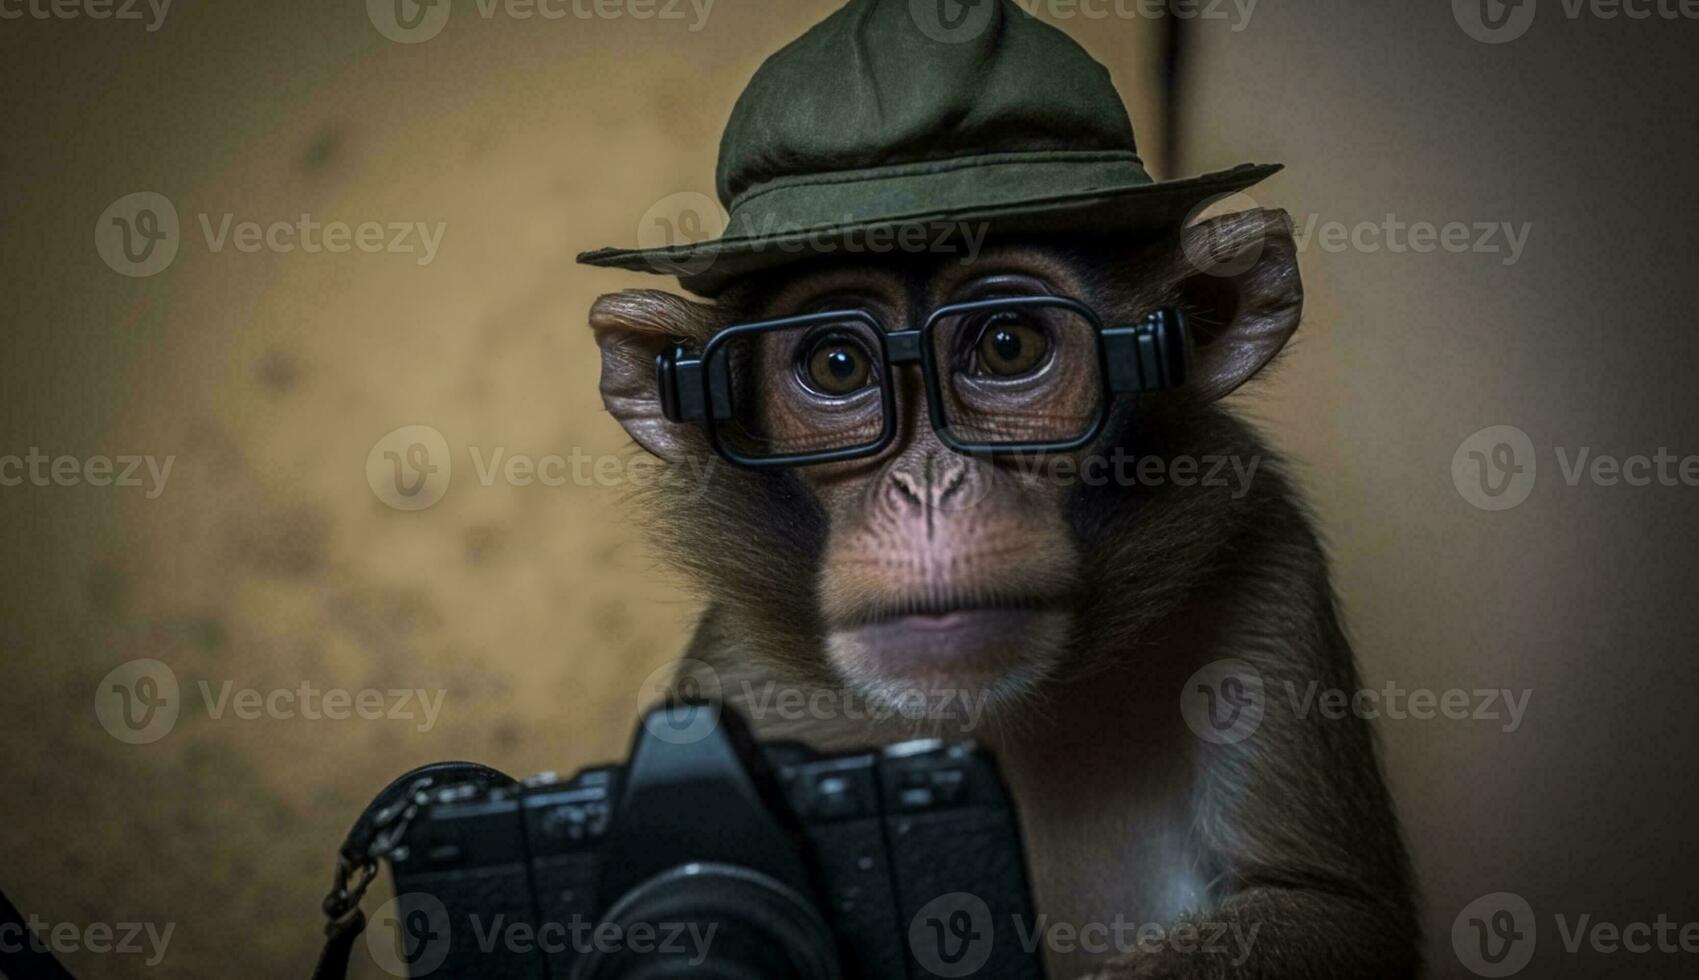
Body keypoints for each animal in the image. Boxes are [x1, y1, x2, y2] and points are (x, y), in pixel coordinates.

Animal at [587, 208, 1420, 978]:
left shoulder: (1264, 570)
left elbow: (1333, 910)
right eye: (837, 365)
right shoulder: (736, 674)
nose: (930, 487)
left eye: (1007, 346)